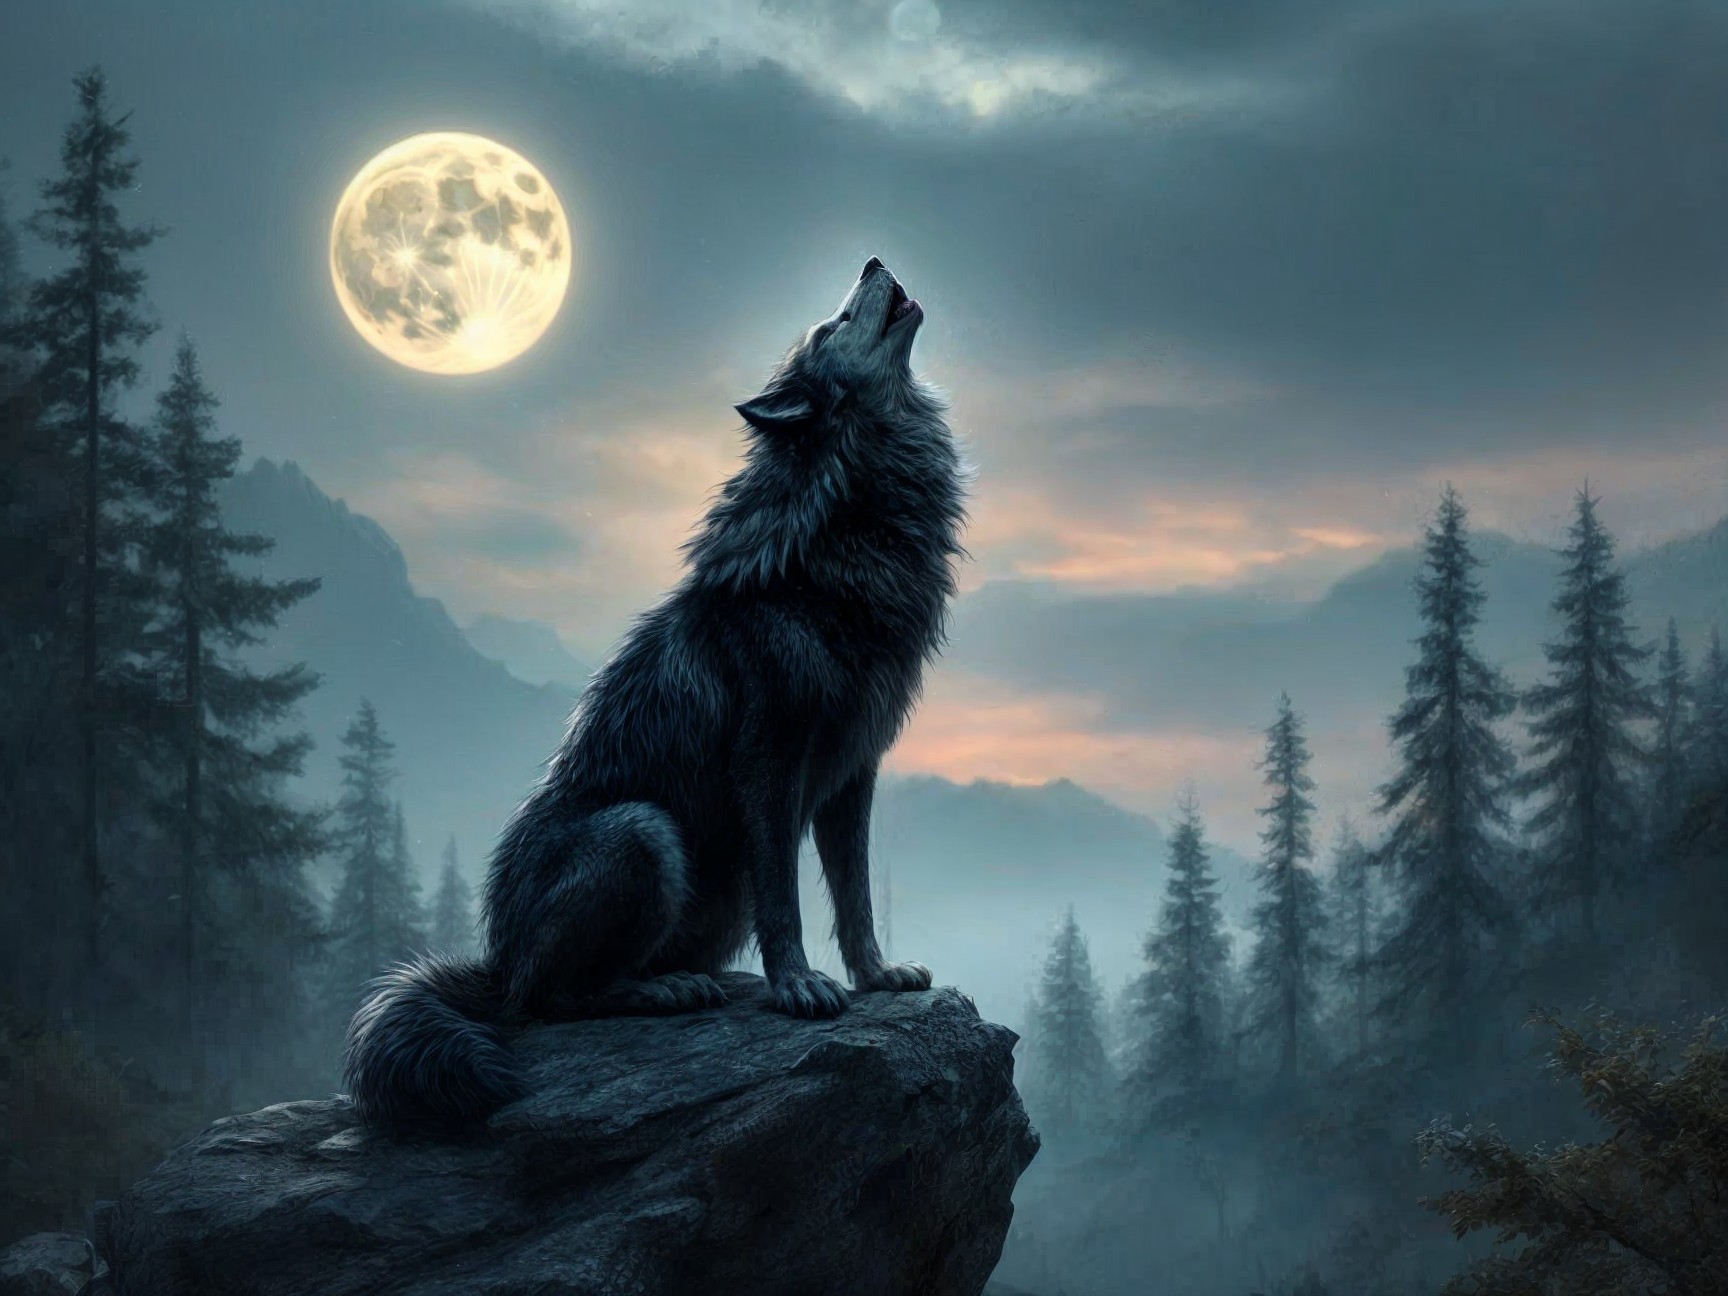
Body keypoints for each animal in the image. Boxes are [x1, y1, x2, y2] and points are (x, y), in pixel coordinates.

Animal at [344, 257, 968, 1129]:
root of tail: (497, 964)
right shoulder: (768, 763)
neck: (841, 537)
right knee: (555, 1001)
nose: (873, 262)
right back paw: (664, 990)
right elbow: (787, 901)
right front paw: (797, 986)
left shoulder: (853, 772)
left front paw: (876, 977)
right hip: (643, 832)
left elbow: (856, 896)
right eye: (834, 323)